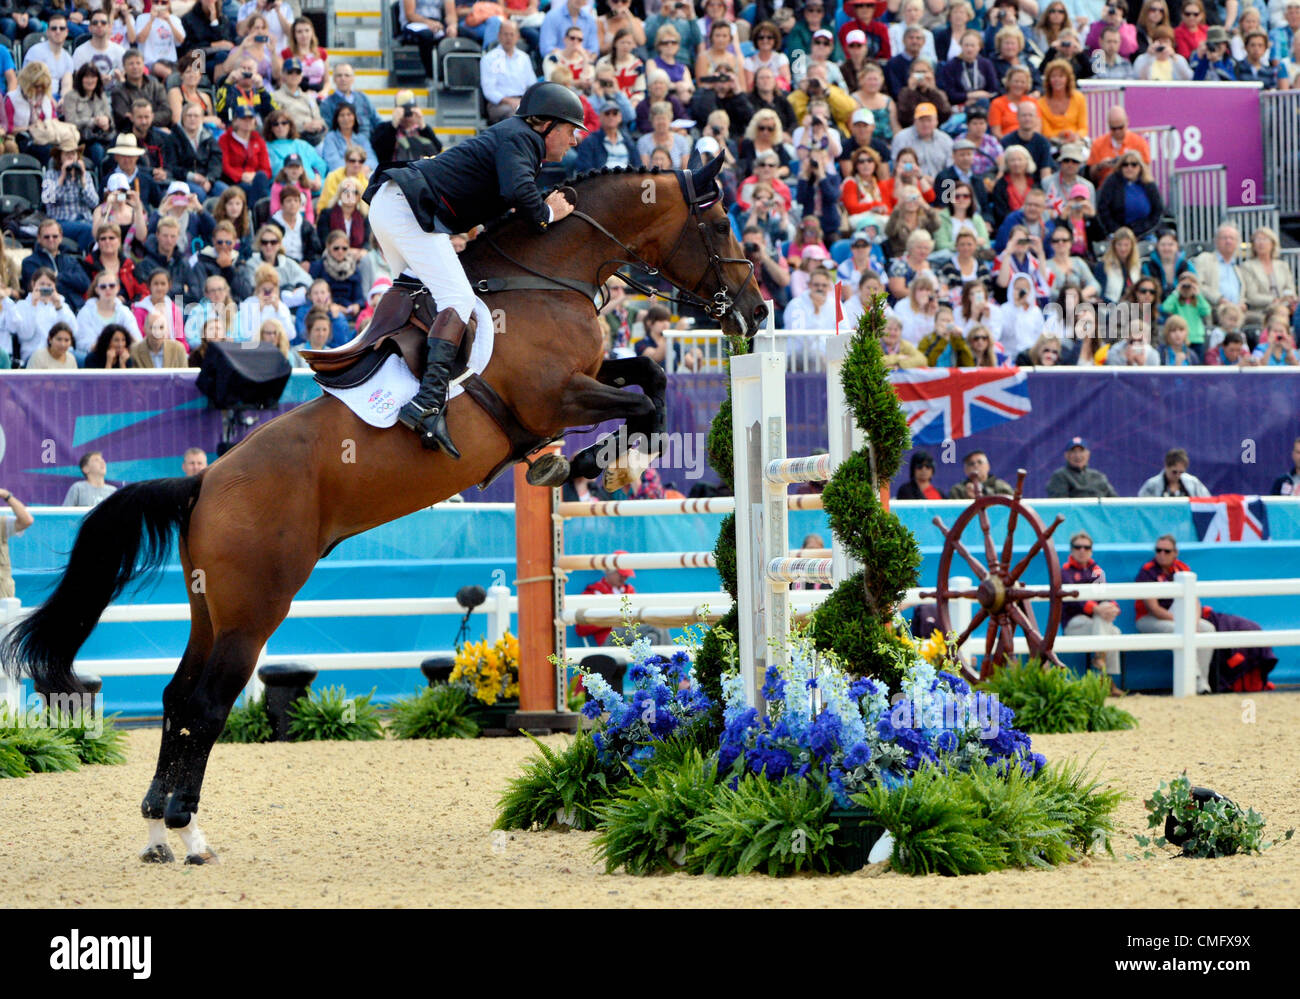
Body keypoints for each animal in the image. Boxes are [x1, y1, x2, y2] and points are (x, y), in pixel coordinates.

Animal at [0, 158, 764, 863]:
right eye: (723, 224)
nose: (757, 312)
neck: (547, 276)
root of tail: (205, 482)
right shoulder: (555, 394)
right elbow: (644, 400)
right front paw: (580, 463)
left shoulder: (583, 380)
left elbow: (648, 375)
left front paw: (582, 460)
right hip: (254, 608)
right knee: (206, 702)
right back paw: (187, 832)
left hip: (210, 607)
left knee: (175, 696)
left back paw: (159, 829)